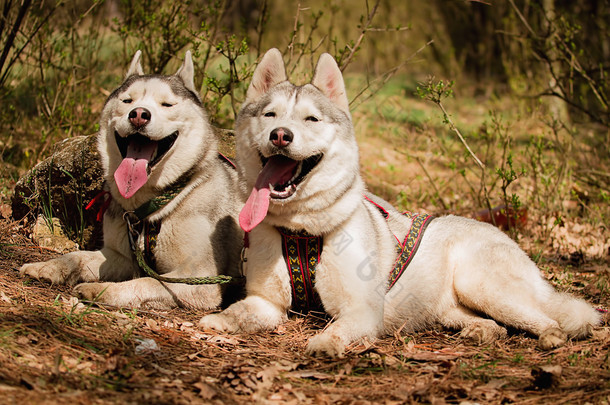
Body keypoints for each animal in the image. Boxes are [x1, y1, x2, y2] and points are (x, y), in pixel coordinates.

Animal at [22, 51, 240, 310]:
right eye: (127, 100)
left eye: (167, 104)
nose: (138, 115)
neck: (158, 204)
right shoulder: (121, 255)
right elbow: (78, 256)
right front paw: (48, 266)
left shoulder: (200, 279)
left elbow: (149, 281)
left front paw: (102, 289)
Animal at [196, 48, 600, 356]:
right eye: (270, 115)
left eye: (311, 119)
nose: (281, 135)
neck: (302, 230)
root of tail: (502, 234)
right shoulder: (267, 303)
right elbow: (240, 311)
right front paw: (218, 321)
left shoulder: (361, 311)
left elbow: (336, 328)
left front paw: (325, 343)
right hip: (450, 308)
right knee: (491, 324)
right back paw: (481, 332)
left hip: (482, 286)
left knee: (551, 319)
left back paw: (551, 337)